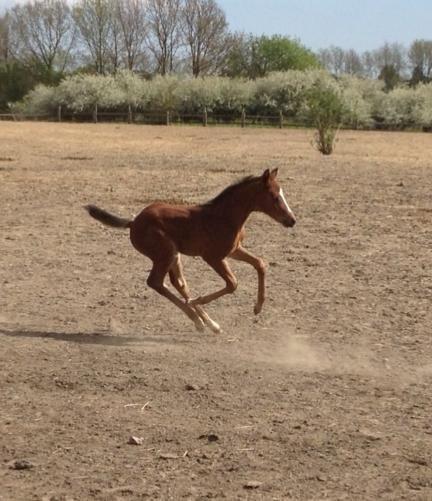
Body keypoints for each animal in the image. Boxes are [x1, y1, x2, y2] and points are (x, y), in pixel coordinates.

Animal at [85, 168, 294, 332]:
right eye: (275, 197)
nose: (291, 220)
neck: (224, 216)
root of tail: (133, 222)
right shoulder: (213, 257)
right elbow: (232, 284)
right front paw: (197, 301)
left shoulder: (234, 250)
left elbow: (260, 264)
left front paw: (258, 307)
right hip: (165, 253)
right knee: (156, 282)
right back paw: (198, 318)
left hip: (173, 255)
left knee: (178, 283)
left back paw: (209, 323)